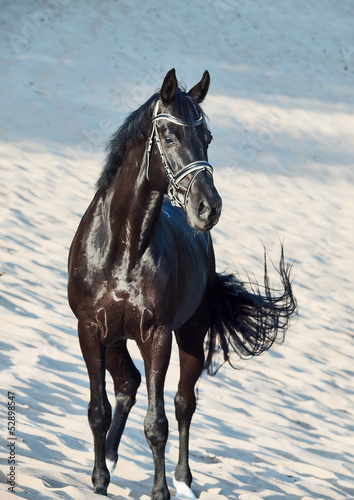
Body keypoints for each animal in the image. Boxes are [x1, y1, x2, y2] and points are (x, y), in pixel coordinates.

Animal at [68, 69, 298, 500]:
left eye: (207, 137)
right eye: (170, 136)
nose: (209, 208)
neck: (122, 248)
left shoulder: (157, 336)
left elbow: (157, 424)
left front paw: (160, 491)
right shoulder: (89, 328)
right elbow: (98, 411)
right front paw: (99, 481)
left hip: (190, 335)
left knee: (182, 403)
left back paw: (183, 480)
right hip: (114, 338)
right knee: (127, 384)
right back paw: (111, 461)